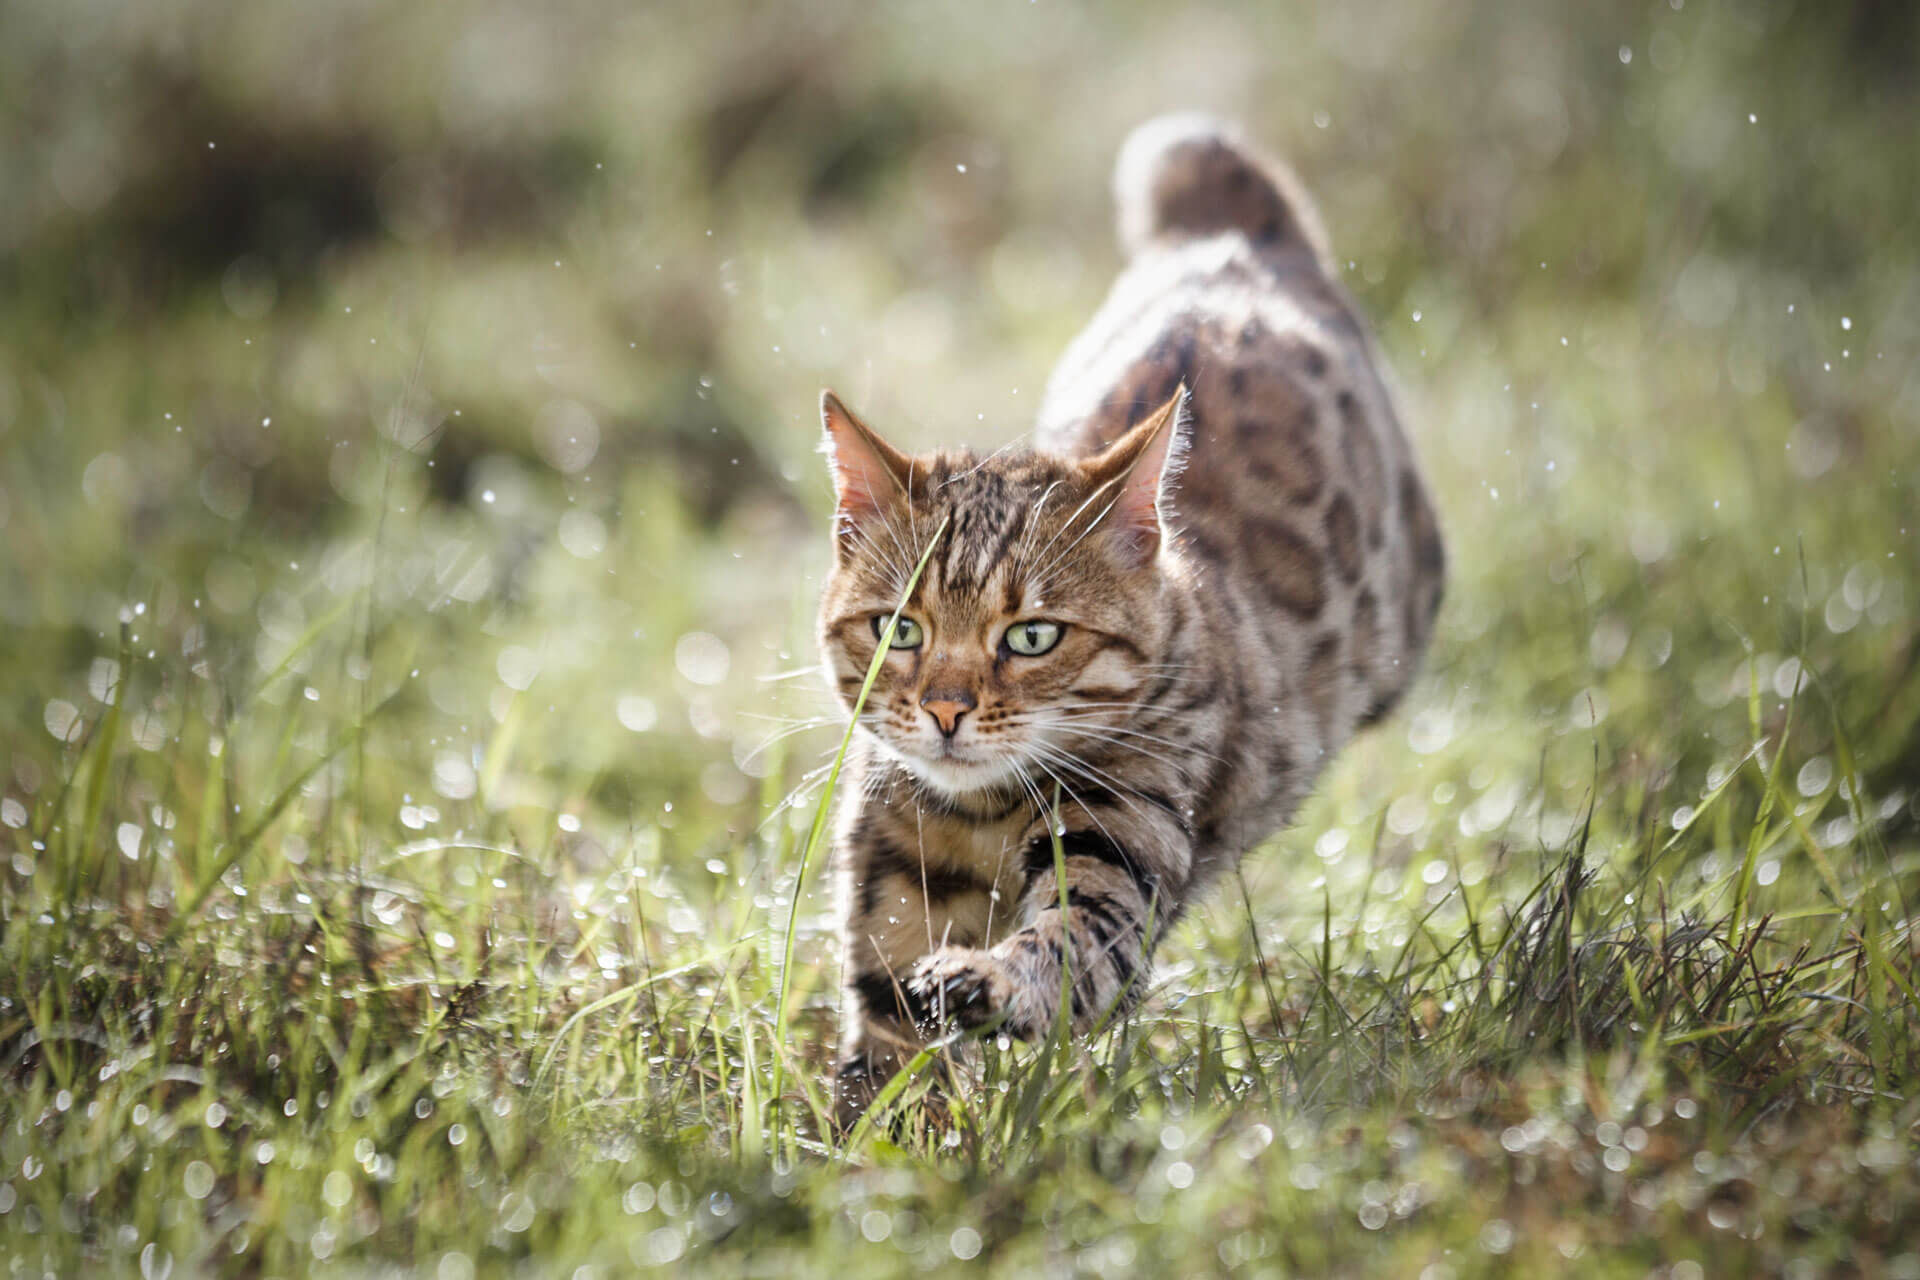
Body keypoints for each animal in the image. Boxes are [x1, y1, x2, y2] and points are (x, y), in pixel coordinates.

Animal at [810, 115, 1443, 1128]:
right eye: (899, 629)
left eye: (1032, 636)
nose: (945, 711)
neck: (981, 814)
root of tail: (1233, 230)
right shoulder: (891, 888)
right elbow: (886, 1066)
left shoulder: (1122, 851)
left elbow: (1063, 948)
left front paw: (990, 983)